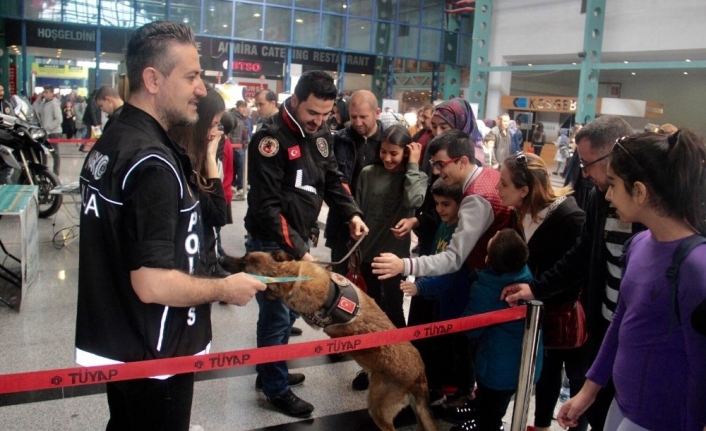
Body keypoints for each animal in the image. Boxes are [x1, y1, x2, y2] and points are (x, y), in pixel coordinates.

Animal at [223, 251, 438, 431]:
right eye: (244, 256)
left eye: (243, 264)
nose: (221, 259)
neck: (286, 272)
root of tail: (420, 374)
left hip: (379, 409)